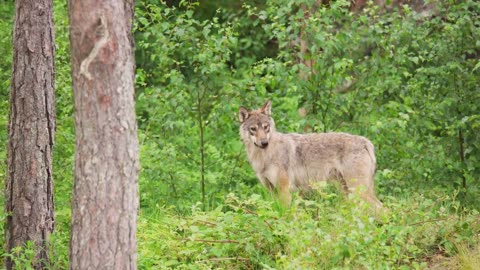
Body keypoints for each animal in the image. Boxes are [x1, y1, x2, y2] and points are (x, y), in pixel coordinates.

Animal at [239, 100, 382, 210]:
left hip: (358, 191)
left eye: (266, 127)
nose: (264, 143)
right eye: (253, 129)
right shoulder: (271, 191)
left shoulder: (284, 189)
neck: (264, 156)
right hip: (349, 192)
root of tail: (366, 142)